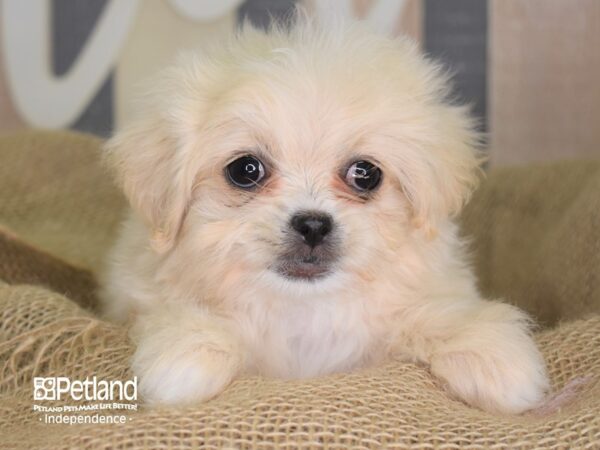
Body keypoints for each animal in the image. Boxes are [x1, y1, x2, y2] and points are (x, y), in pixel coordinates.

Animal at [101, 15, 552, 414]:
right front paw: (190, 350)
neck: (306, 307)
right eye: (245, 170)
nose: (313, 224)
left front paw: (493, 356)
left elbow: (439, 314)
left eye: (365, 174)